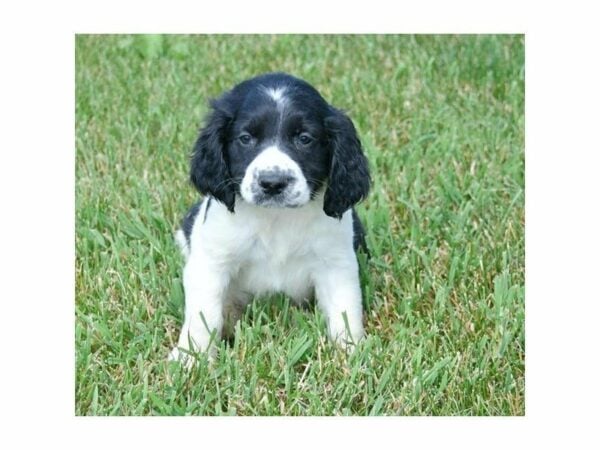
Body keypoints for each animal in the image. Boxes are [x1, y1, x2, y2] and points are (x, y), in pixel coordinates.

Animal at [169, 71, 370, 366]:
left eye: (304, 138)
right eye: (245, 138)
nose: (273, 183)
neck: (276, 218)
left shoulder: (335, 263)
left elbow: (344, 310)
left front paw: (350, 354)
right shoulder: (211, 263)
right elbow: (203, 315)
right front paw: (191, 357)